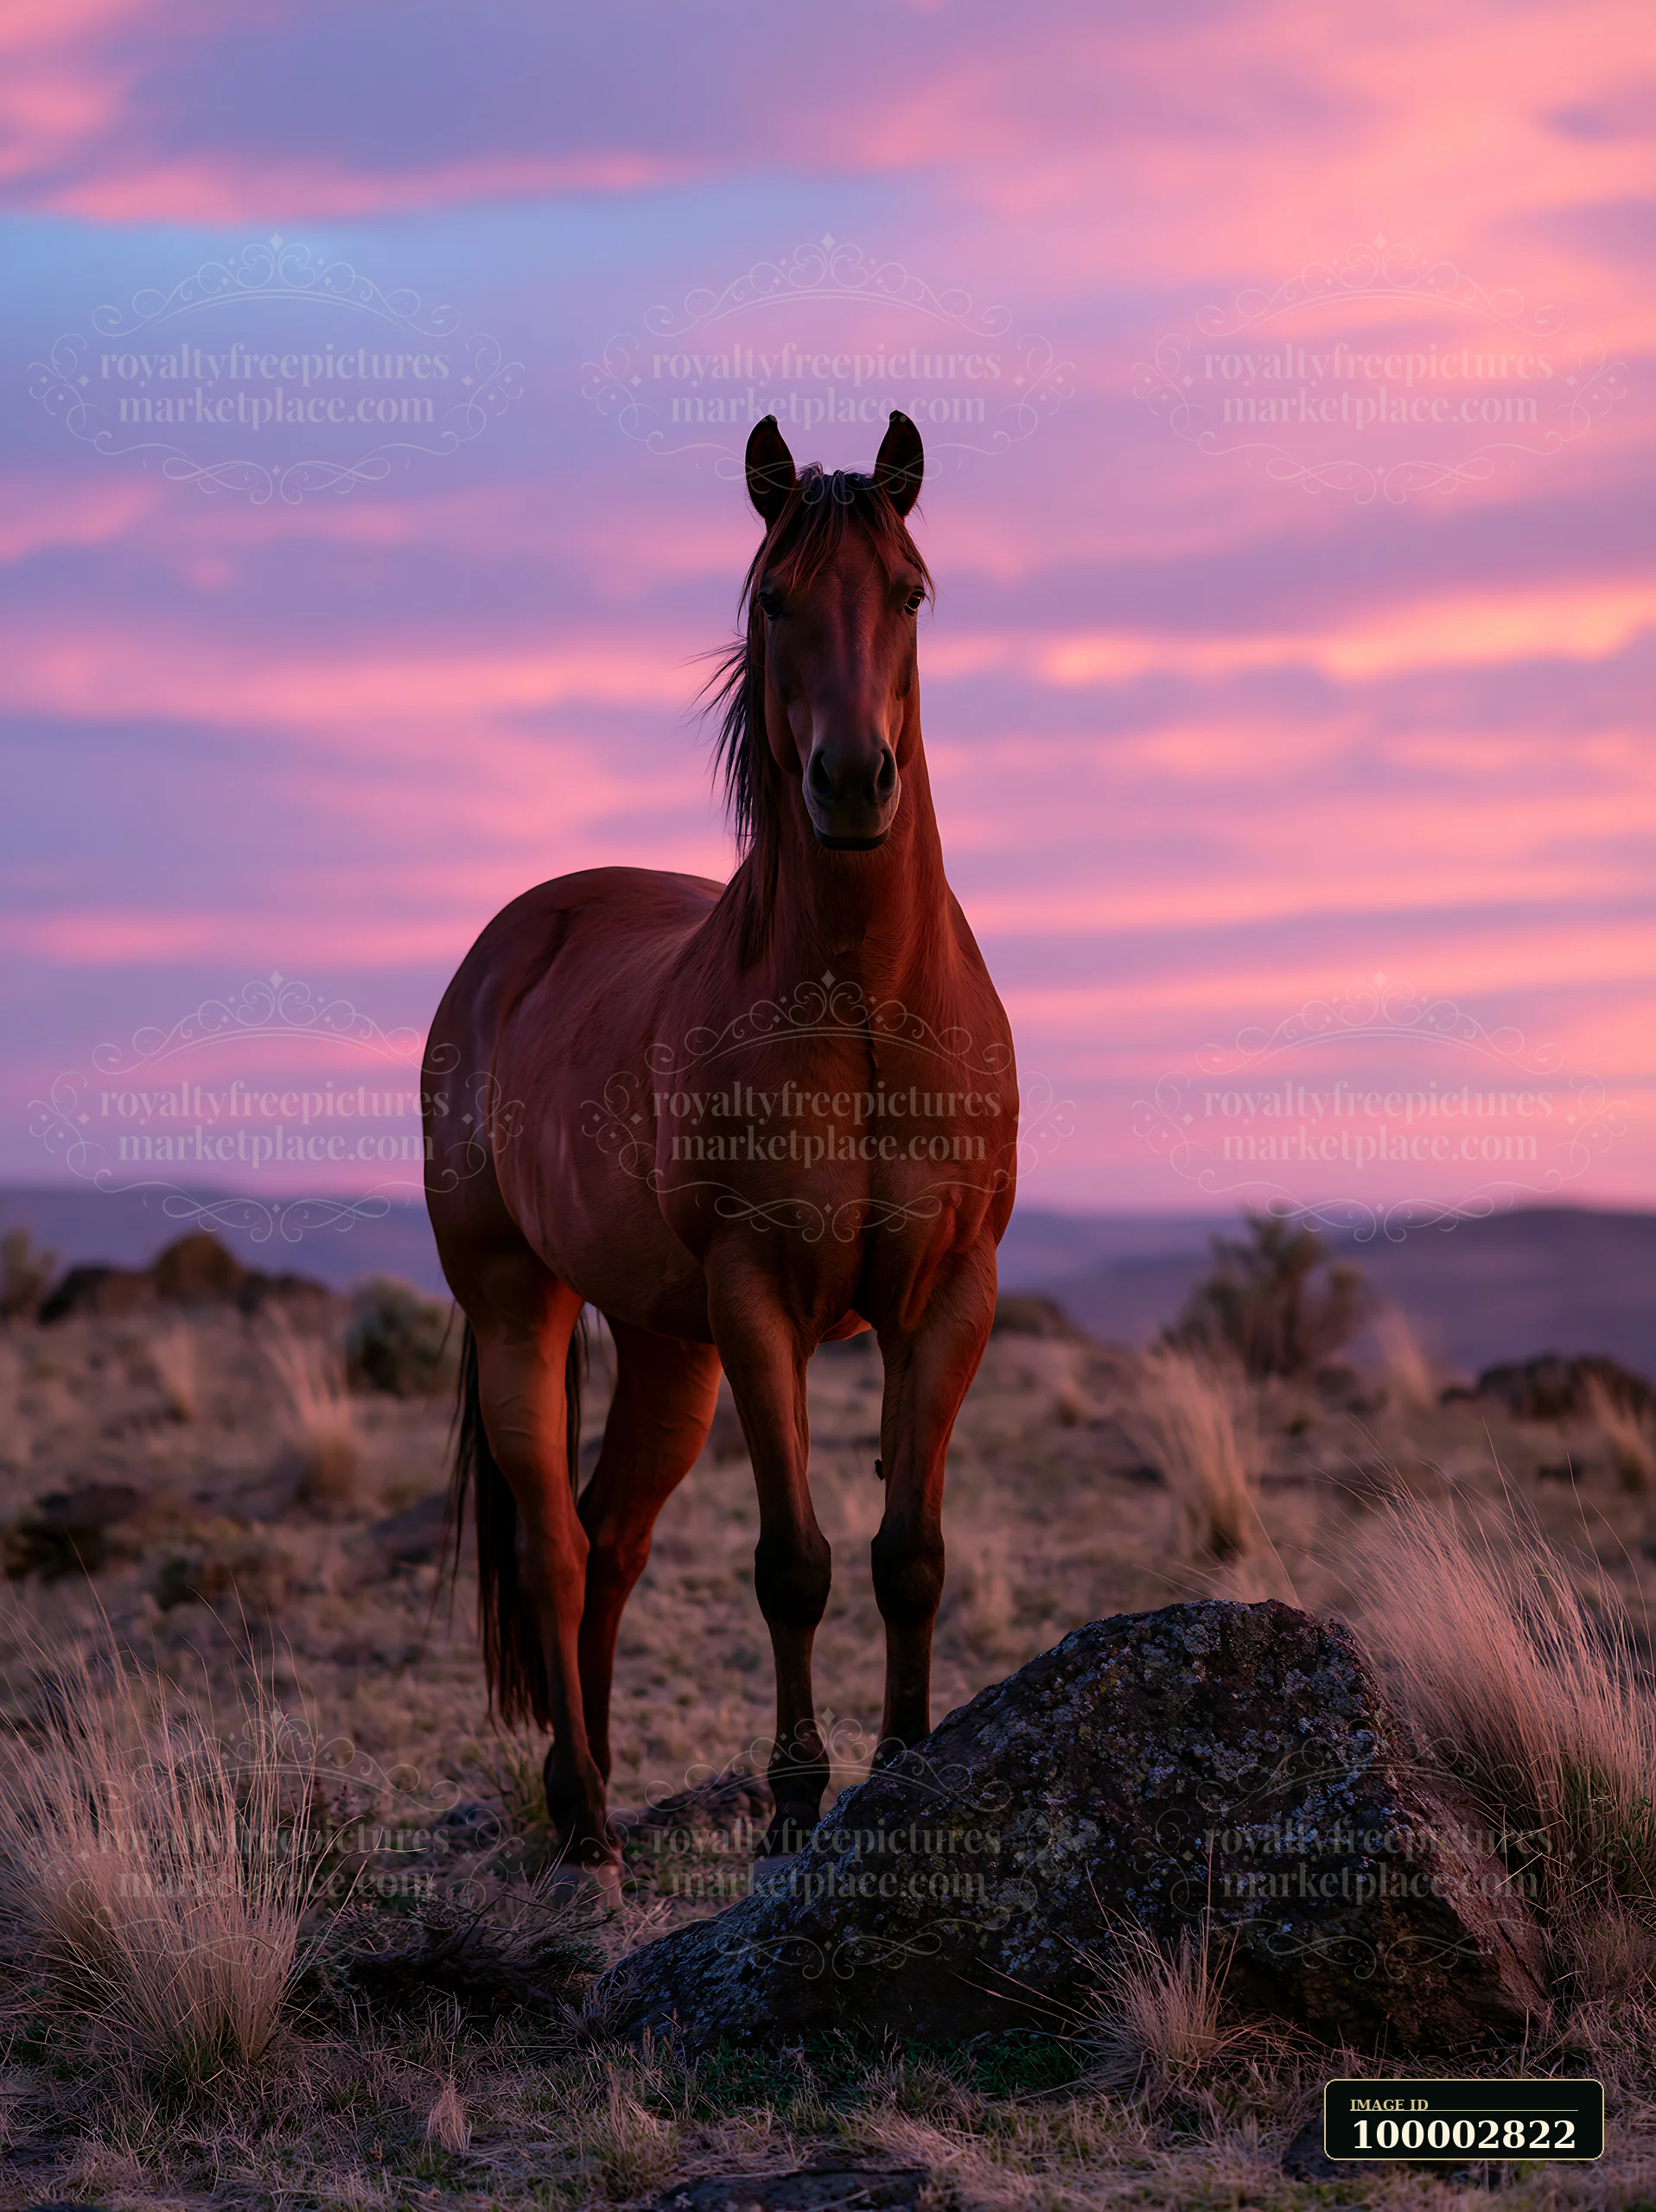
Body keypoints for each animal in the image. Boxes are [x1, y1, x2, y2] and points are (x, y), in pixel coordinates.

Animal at [424, 409, 1019, 1886]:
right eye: (775, 599)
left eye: (909, 592)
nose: (853, 782)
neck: (860, 1005)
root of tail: (512, 942)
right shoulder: (761, 1302)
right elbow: (792, 1564)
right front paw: (796, 1801)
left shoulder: (952, 1296)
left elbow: (909, 1554)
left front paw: (908, 1769)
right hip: (520, 1305)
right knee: (554, 1545)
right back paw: (583, 1818)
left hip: (664, 1345)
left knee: (614, 1540)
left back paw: (597, 1788)